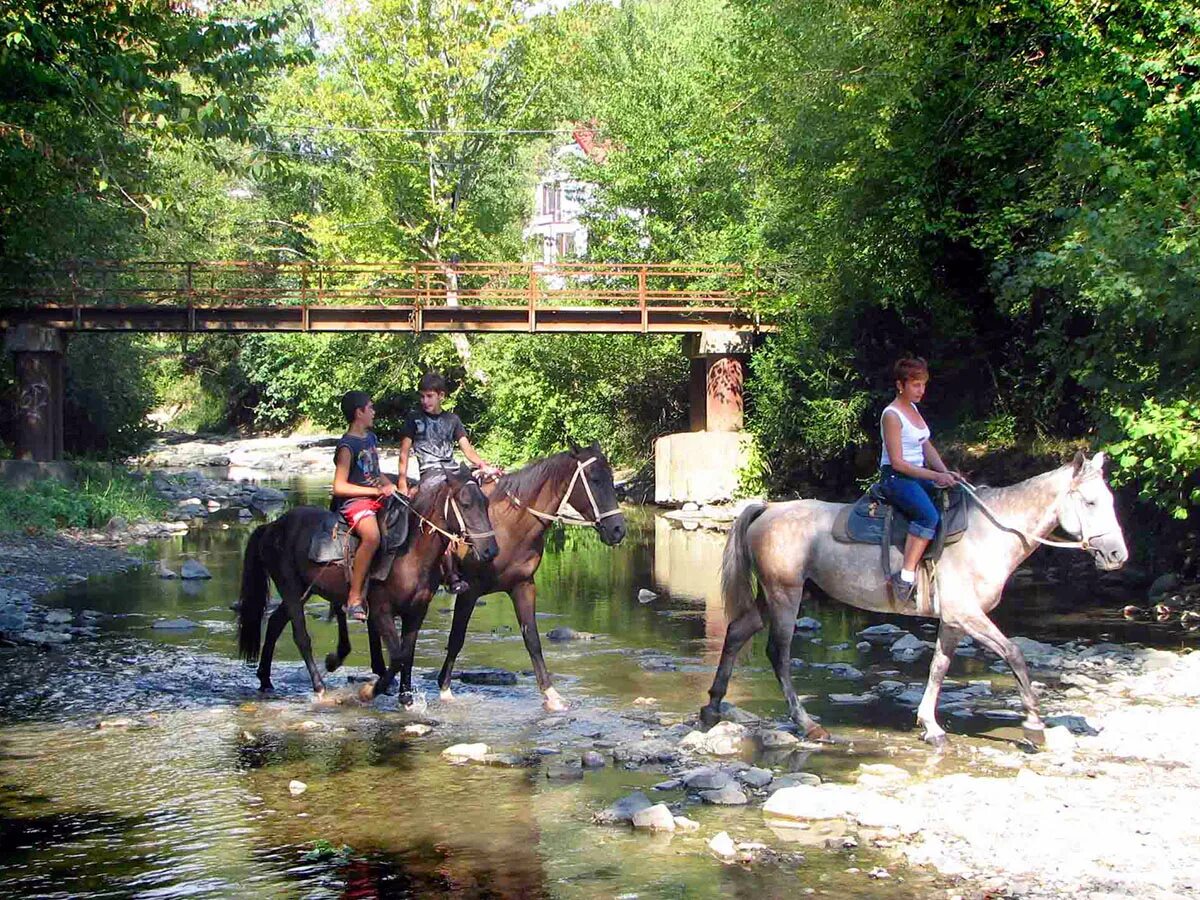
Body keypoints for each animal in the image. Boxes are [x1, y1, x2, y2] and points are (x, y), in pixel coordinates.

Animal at [236, 472, 499, 705]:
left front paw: (405, 697)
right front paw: (370, 691)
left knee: (274, 624)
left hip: (304, 590)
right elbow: (398, 656)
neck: (410, 552)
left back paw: (266, 680)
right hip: (290, 588)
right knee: (301, 637)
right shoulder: (381, 611)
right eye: (465, 504)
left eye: (486, 503)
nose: (490, 550)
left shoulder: (416, 612)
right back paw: (319, 688)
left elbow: (408, 653)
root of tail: (272, 526)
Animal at [700, 451, 1128, 748]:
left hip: (771, 595)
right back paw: (807, 723)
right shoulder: (968, 614)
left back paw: (712, 708)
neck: (989, 534)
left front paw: (930, 725)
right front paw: (1035, 726)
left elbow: (938, 667)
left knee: (738, 632)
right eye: (1090, 502)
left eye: (1109, 500)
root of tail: (768, 509)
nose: (1117, 555)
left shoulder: (954, 620)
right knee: (778, 653)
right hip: (785, 594)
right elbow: (1014, 654)